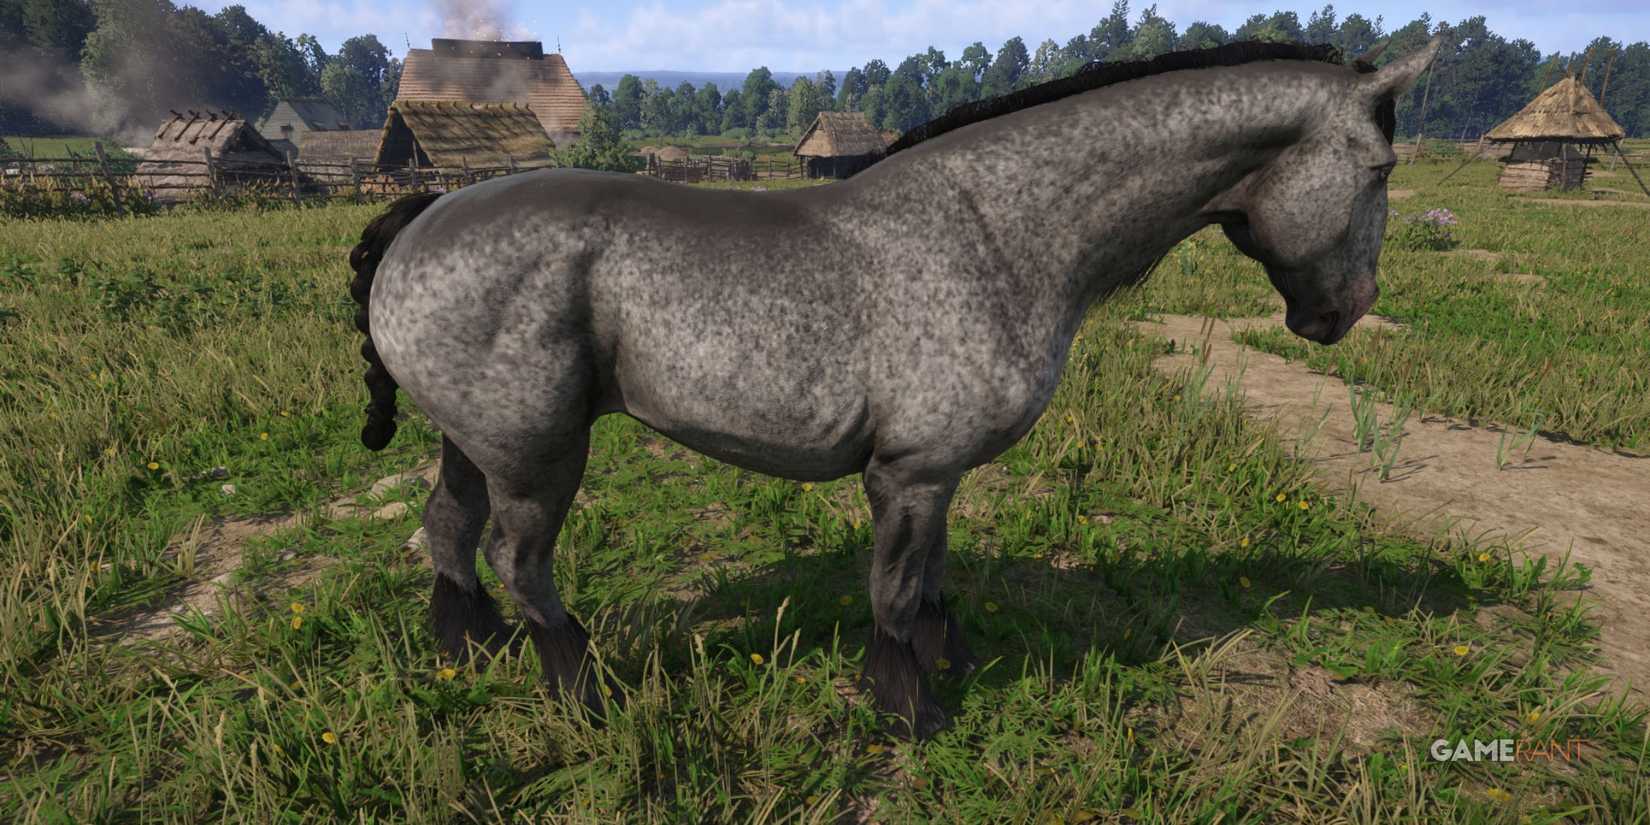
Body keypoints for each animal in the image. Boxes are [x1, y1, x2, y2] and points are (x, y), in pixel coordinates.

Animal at [347, 37, 1441, 739]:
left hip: (476, 442)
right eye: (1383, 164)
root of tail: (419, 217)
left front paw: (946, 665)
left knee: (448, 532)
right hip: (538, 453)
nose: (1343, 312)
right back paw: (582, 694)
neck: (994, 230)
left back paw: (471, 650)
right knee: (518, 560)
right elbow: (896, 589)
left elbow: (934, 583)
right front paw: (908, 709)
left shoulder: (937, 473)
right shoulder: (907, 473)